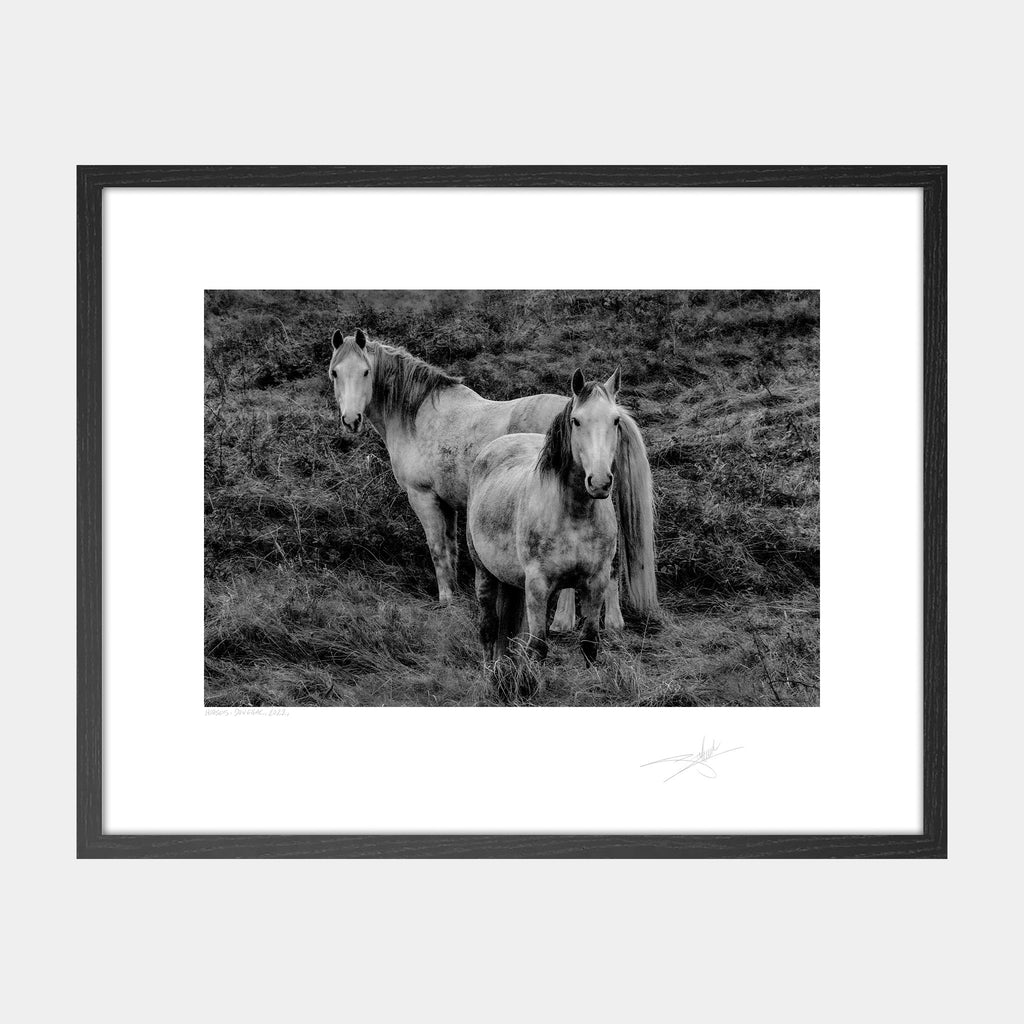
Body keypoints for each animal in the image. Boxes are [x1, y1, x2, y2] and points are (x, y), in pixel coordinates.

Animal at [328, 328, 658, 628]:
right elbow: (451, 549)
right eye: (334, 373)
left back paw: (562, 621)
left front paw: (446, 600)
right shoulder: (448, 504)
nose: (351, 420)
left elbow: (437, 549)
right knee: (610, 565)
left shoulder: (423, 497)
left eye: (366, 372)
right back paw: (612, 622)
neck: (418, 417)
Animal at [466, 367, 656, 690]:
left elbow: (590, 641)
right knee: (488, 628)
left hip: (512, 581)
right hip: (485, 573)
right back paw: (491, 675)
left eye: (615, 420)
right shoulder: (538, 585)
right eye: (576, 421)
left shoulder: (596, 581)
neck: (575, 516)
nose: (600, 482)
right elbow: (538, 646)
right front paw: (529, 686)